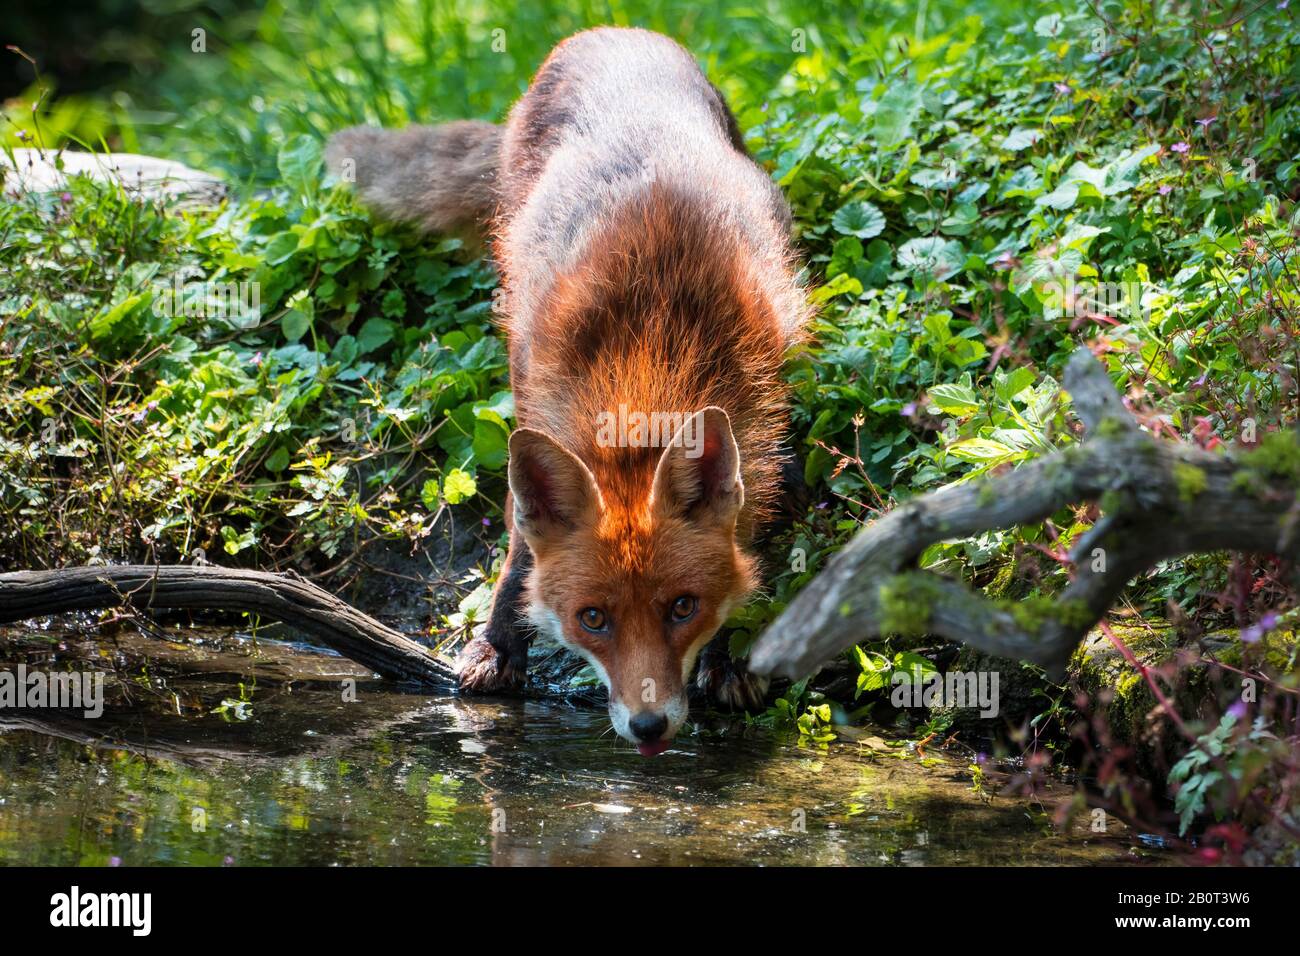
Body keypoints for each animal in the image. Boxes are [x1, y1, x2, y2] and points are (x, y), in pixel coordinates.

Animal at [330, 27, 806, 754]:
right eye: (593, 619)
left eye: (683, 607)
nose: (648, 726)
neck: (648, 359)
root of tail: (612, 31)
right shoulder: (536, 395)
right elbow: (517, 552)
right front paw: (498, 646)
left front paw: (729, 658)